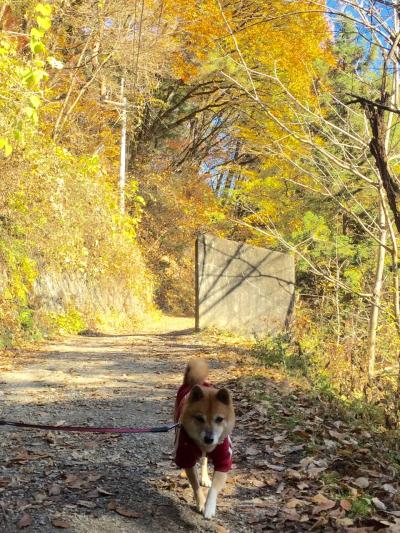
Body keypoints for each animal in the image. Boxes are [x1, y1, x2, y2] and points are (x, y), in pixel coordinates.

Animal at [174, 360, 234, 516]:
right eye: (199, 418)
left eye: (219, 419)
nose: (209, 438)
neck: (205, 446)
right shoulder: (186, 457)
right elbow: (195, 485)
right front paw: (201, 502)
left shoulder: (223, 461)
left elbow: (214, 488)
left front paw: (209, 507)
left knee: (205, 460)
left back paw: (206, 477)